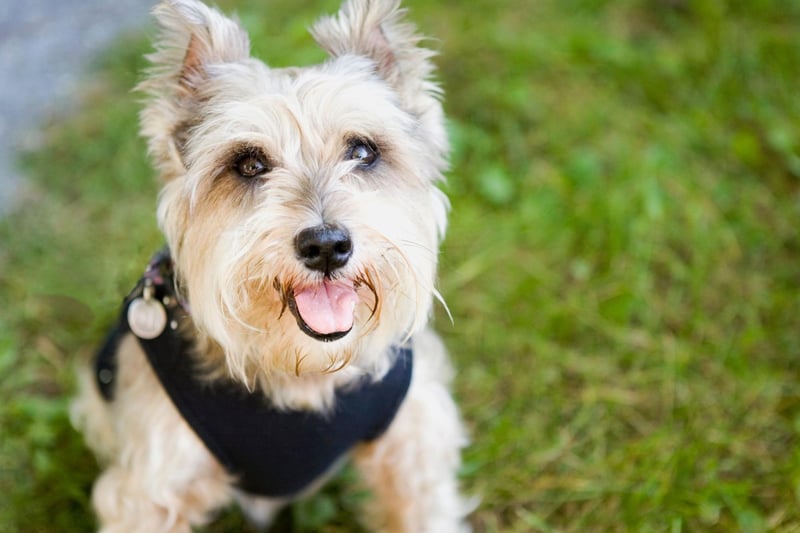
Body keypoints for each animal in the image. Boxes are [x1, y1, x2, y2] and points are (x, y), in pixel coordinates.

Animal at [70, 0, 468, 528]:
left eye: (363, 151)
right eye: (249, 164)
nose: (326, 245)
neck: (306, 372)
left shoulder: (416, 455)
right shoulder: (149, 490)